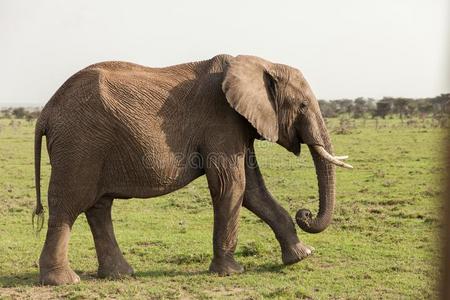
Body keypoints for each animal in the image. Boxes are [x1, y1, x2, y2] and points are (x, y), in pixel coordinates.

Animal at [33, 54, 354, 286]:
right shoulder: (221, 121)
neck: (261, 62)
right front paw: (230, 272)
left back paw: (120, 275)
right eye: (302, 106)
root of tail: (46, 112)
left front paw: (301, 256)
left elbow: (253, 190)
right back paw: (63, 282)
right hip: (79, 144)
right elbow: (231, 185)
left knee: (99, 207)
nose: (305, 214)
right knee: (68, 205)